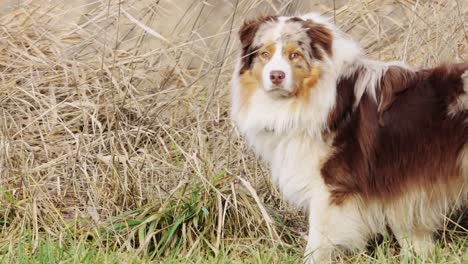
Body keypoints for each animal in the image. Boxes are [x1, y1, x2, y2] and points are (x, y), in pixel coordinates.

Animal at [230, 11, 468, 262]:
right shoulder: (404, 191)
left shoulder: (331, 188)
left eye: (294, 54)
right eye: (264, 54)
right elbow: (413, 236)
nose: (276, 76)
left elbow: (318, 241)